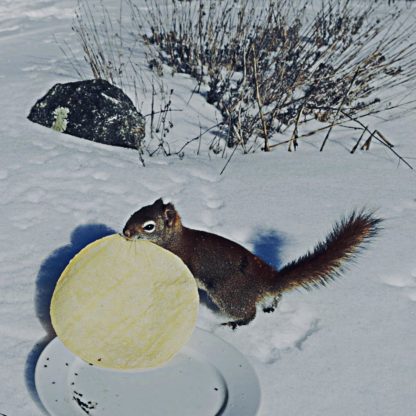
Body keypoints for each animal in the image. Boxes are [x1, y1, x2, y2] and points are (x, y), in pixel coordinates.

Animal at [122, 198, 382, 328]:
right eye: (135, 211)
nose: (125, 232)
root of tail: (269, 280)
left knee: (249, 313)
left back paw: (234, 324)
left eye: (149, 226)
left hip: (227, 294)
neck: (173, 241)